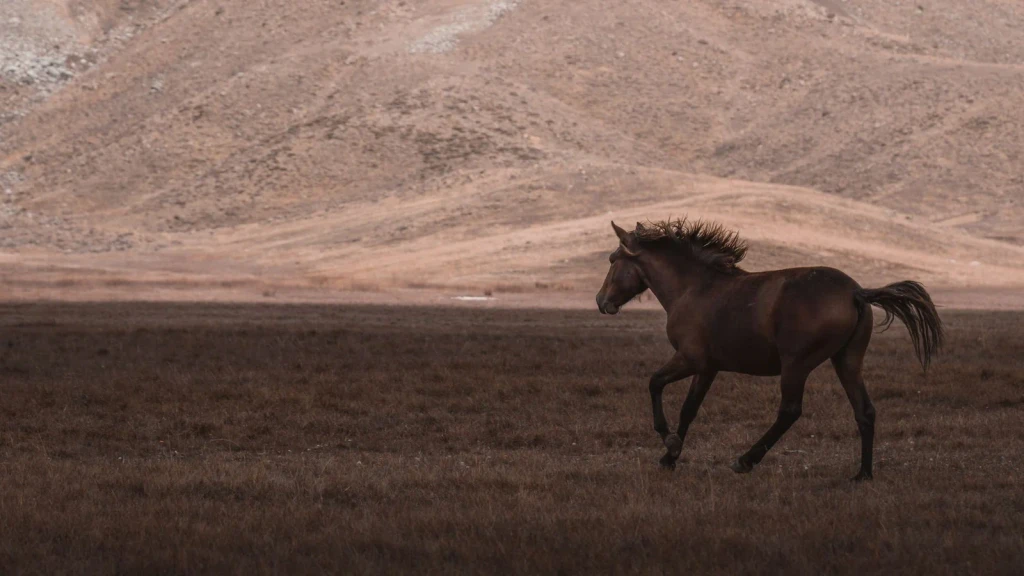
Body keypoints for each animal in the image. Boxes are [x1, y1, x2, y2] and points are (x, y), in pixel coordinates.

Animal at [595, 219, 943, 480]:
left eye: (613, 261)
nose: (601, 301)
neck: (693, 288)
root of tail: (856, 292)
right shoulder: (708, 367)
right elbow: (689, 409)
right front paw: (671, 456)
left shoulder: (690, 359)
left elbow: (654, 383)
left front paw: (669, 443)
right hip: (847, 361)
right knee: (865, 411)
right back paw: (863, 475)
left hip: (796, 365)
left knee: (789, 411)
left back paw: (745, 460)